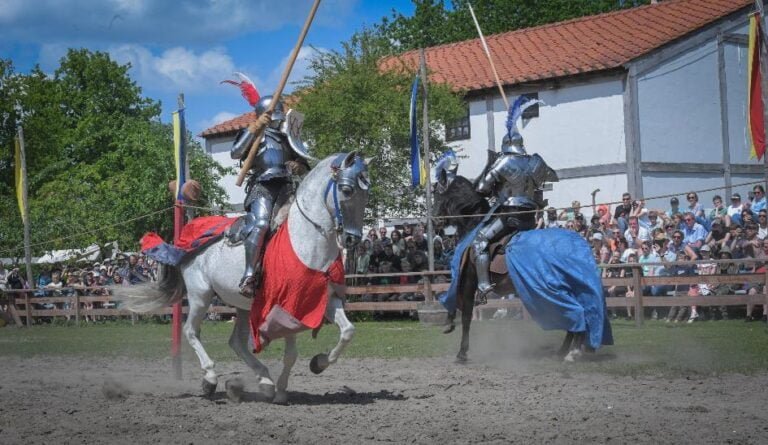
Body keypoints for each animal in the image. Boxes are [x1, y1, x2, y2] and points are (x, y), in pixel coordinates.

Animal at [117, 152, 372, 402]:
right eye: (347, 190)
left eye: (366, 193)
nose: (352, 239)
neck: (304, 241)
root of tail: (184, 238)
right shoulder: (286, 307)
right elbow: (291, 352)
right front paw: (283, 387)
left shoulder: (322, 300)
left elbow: (346, 332)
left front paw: (315, 365)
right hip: (201, 295)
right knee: (191, 331)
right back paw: (210, 379)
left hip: (242, 306)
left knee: (236, 342)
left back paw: (264, 382)